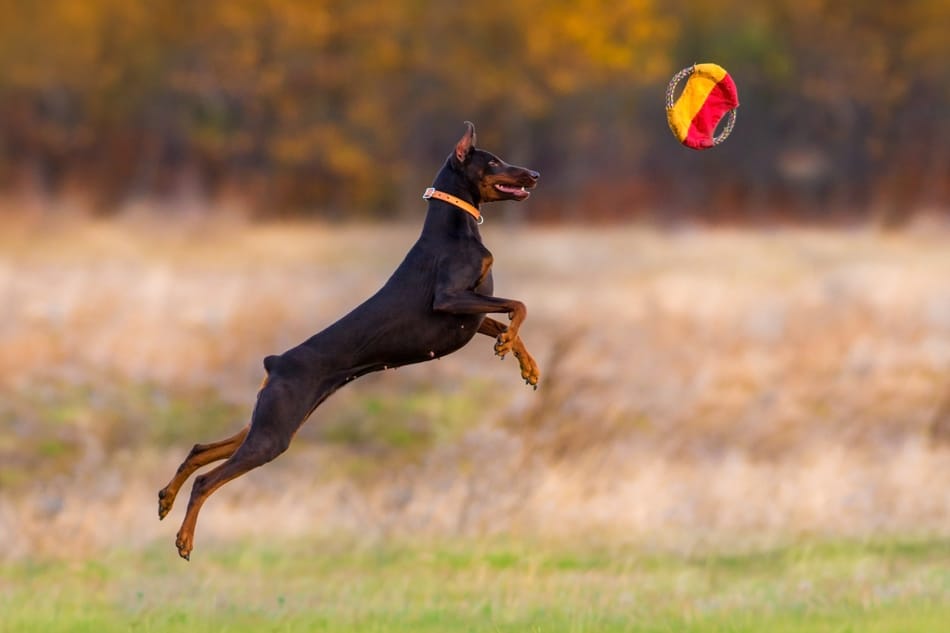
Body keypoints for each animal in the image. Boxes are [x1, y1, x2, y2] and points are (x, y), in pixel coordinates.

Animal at [160, 119, 540, 556]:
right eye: (493, 161)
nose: (535, 174)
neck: (455, 228)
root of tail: (275, 362)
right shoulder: (449, 299)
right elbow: (518, 305)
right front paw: (509, 345)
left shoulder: (471, 316)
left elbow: (509, 316)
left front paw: (528, 366)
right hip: (272, 435)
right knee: (207, 480)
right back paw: (184, 538)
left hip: (271, 422)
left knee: (200, 450)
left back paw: (165, 498)